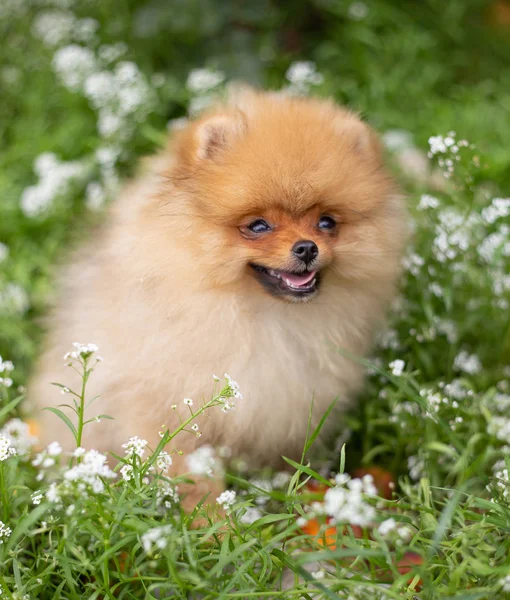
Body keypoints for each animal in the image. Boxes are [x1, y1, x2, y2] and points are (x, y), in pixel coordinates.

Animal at [29, 88, 408, 496]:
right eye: (258, 226)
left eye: (327, 222)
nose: (307, 247)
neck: (261, 314)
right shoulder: (166, 405)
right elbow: (190, 476)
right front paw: (212, 514)